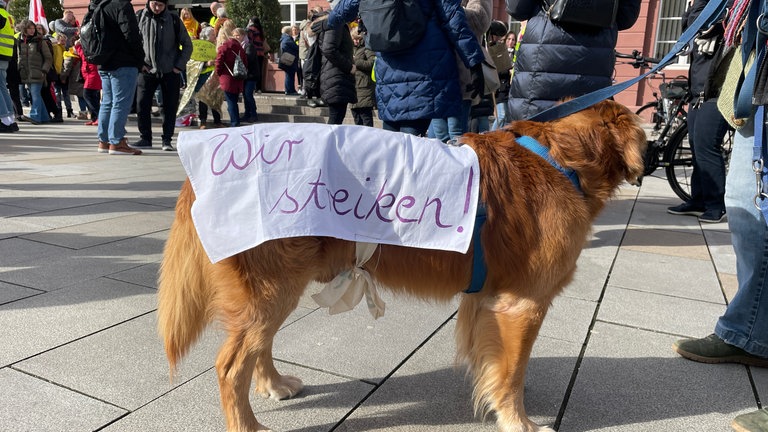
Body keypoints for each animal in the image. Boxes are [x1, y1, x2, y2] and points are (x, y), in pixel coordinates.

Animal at [159, 99, 644, 430]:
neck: (563, 160)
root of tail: (194, 176)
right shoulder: (523, 304)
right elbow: (511, 372)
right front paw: (519, 420)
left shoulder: (486, 301)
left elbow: (495, 362)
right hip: (272, 287)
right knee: (230, 365)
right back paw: (250, 423)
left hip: (275, 291)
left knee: (256, 347)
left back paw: (274, 384)